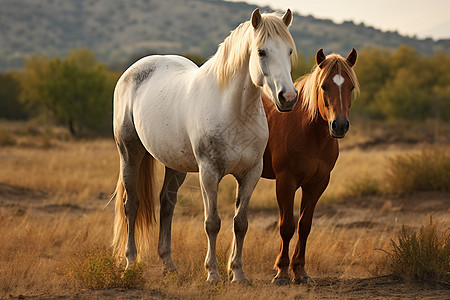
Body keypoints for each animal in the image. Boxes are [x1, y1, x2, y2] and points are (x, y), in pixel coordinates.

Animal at [110, 7, 298, 284]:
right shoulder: (209, 173)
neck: (234, 111)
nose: (288, 97)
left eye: (289, 51)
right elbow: (212, 223)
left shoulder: (250, 173)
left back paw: (169, 264)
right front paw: (213, 274)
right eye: (261, 52)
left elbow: (241, 223)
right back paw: (130, 264)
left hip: (174, 164)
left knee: (167, 203)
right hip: (130, 154)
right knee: (131, 205)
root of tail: (132, 71)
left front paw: (239, 274)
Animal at [262, 48, 360, 284]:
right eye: (324, 86)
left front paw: (300, 271)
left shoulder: (317, 184)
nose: (339, 125)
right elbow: (286, 226)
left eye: (351, 87)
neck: (308, 132)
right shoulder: (285, 182)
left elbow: (304, 225)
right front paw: (281, 272)